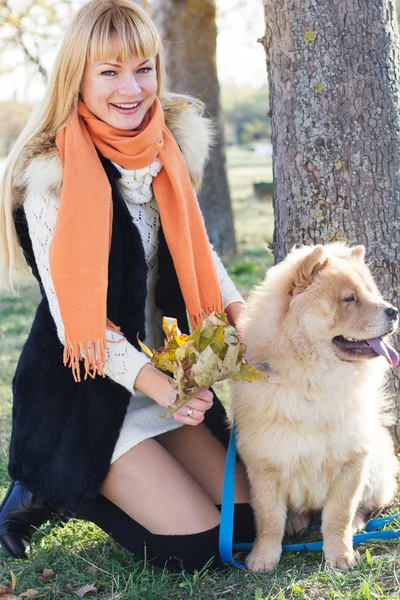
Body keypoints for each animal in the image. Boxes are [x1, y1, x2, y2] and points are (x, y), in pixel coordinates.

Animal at [230, 243, 398, 572]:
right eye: (349, 299)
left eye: (371, 292)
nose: (394, 310)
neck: (313, 383)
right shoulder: (264, 464)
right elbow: (268, 519)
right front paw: (262, 559)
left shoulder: (352, 459)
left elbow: (339, 515)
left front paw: (341, 556)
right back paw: (296, 523)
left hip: (378, 468)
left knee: (365, 506)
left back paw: (357, 525)